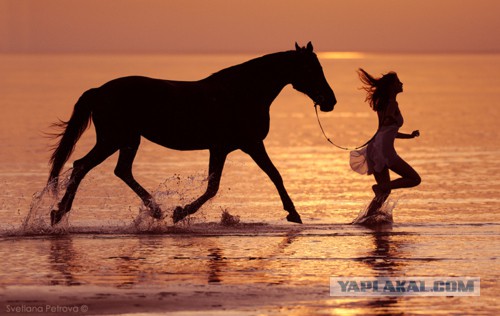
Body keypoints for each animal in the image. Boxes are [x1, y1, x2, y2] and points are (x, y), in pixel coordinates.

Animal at [47, 42, 336, 226]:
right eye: (311, 69)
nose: (330, 101)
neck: (243, 92)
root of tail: (99, 90)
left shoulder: (228, 147)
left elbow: (227, 183)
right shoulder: (245, 144)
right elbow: (265, 177)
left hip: (128, 140)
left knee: (120, 170)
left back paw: (155, 211)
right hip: (114, 139)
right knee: (82, 165)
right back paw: (59, 213)